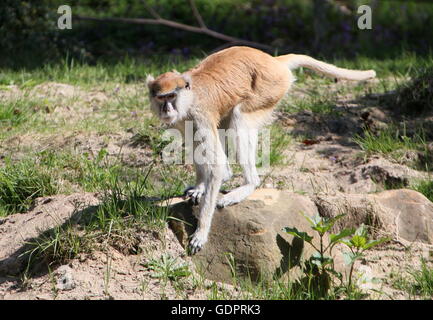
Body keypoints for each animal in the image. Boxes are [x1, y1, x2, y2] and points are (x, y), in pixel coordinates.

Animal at [146, 45, 374, 255]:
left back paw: (248, 185)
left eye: (171, 96)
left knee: (240, 118)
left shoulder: (199, 114)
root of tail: (273, 60)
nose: (167, 109)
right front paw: (200, 186)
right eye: (160, 97)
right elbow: (195, 144)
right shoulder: (183, 120)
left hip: (269, 90)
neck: (189, 96)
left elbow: (216, 163)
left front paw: (201, 232)